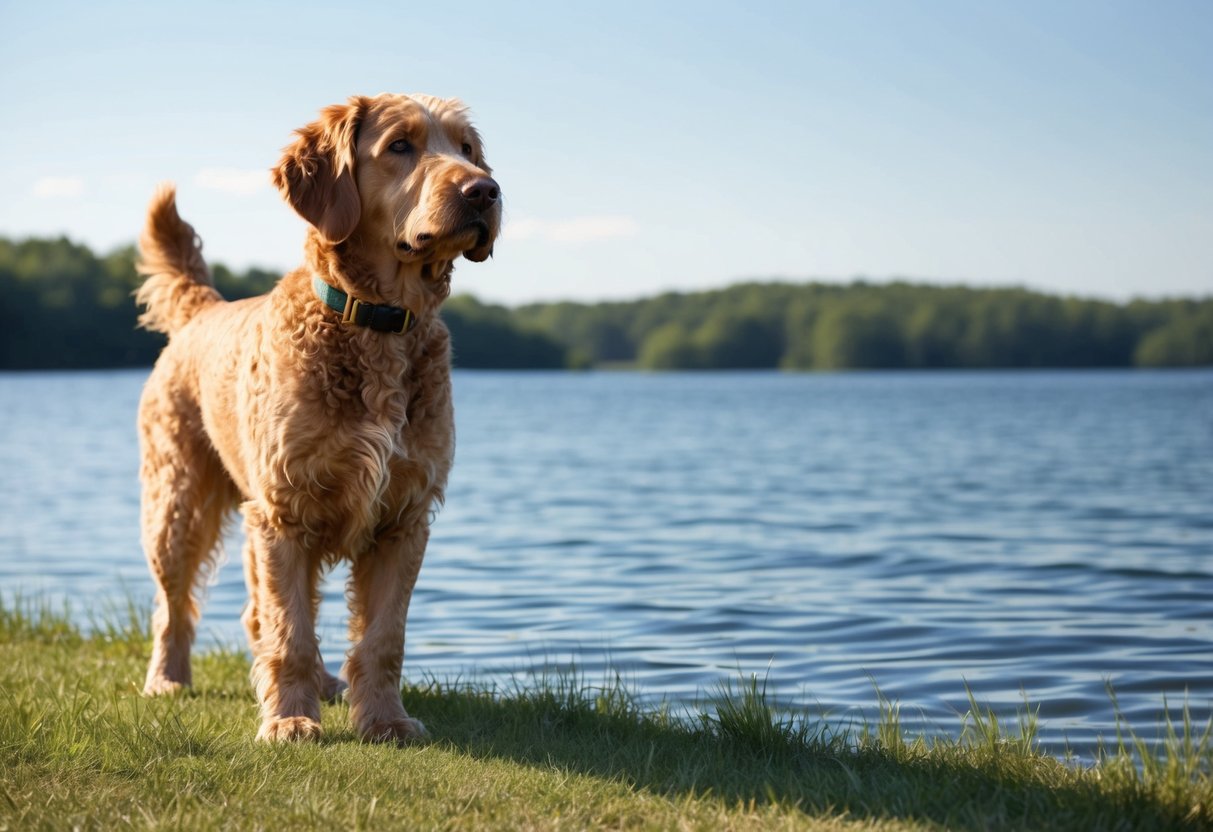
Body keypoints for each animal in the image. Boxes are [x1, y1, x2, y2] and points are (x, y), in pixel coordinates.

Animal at [136, 94, 502, 747]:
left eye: (466, 149)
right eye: (400, 146)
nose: (485, 190)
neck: (378, 324)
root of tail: (204, 310)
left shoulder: (403, 516)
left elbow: (383, 638)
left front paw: (384, 719)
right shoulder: (283, 513)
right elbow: (291, 632)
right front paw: (288, 719)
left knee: (256, 611)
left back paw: (329, 685)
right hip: (176, 506)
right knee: (174, 606)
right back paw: (168, 679)